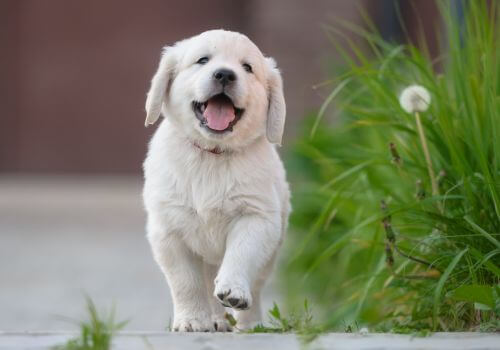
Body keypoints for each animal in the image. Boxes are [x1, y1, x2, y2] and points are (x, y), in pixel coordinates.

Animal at [142, 29, 290, 330]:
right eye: (203, 60)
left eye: (247, 68)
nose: (224, 74)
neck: (212, 154)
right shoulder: (168, 230)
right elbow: (186, 282)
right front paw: (191, 320)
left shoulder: (257, 217)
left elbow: (241, 255)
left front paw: (234, 290)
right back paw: (214, 320)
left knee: (254, 287)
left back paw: (249, 324)